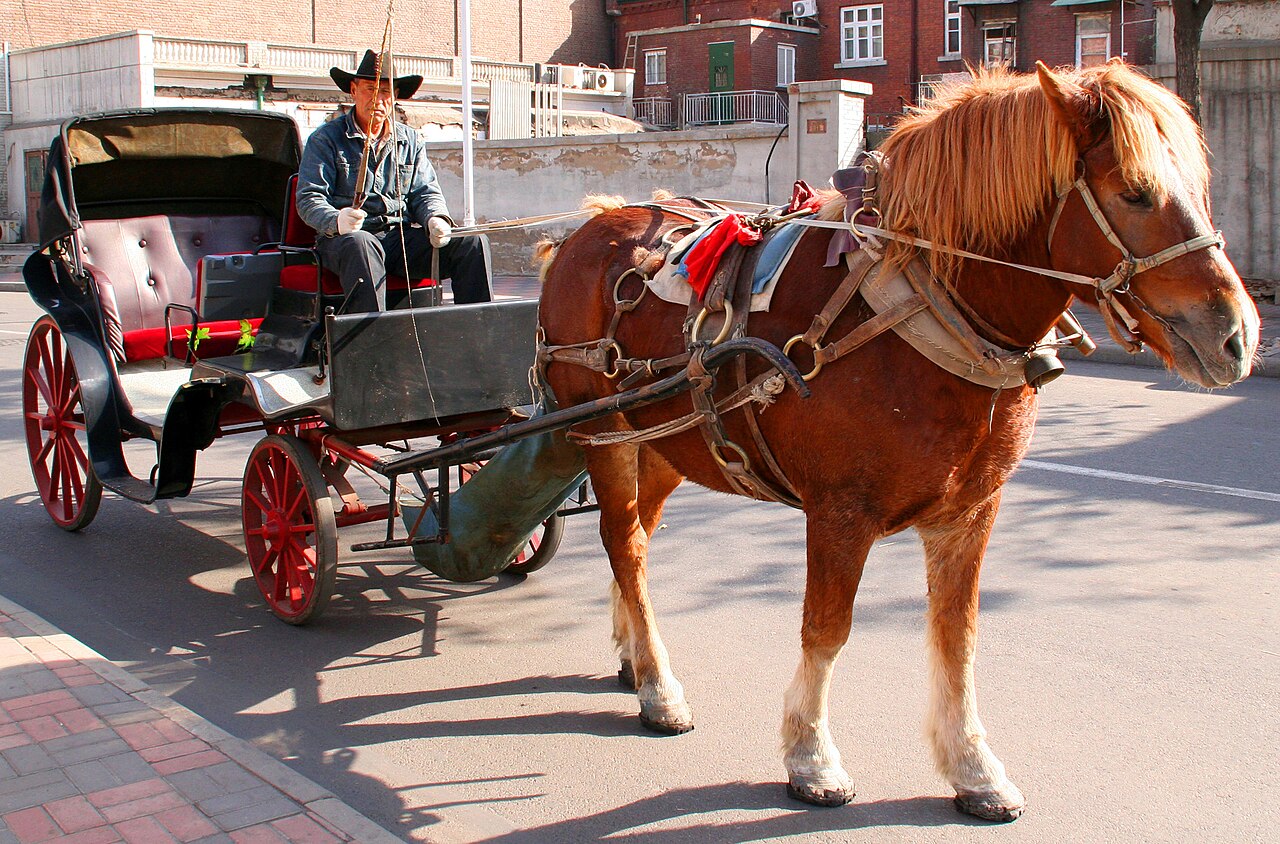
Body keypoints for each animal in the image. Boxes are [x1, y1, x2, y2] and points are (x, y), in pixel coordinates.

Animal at [535, 61, 1259, 821]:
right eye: (1135, 192)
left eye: (1200, 187)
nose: (1235, 334)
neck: (917, 301)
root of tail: (585, 230)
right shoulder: (839, 512)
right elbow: (826, 629)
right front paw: (811, 755)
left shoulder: (970, 513)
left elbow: (957, 636)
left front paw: (972, 766)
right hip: (602, 433)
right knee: (625, 545)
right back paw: (658, 685)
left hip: (668, 443)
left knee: (637, 546)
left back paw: (634, 654)